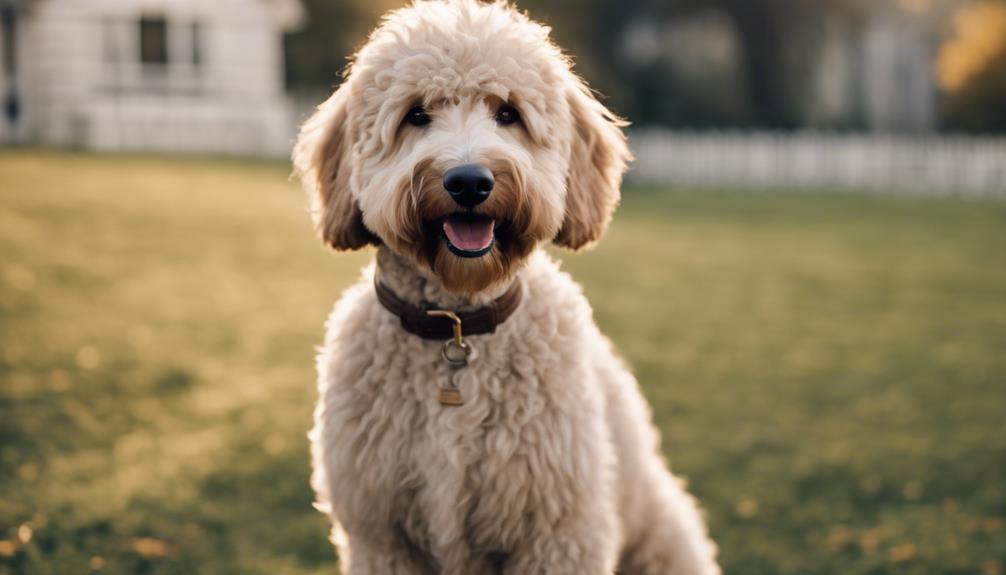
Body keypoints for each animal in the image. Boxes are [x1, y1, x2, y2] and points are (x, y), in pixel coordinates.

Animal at [293, 2, 720, 570]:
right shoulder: (381, 537)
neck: (457, 329)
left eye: (508, 113)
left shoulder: (558, 532)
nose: (469, 182)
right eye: (416, 115)